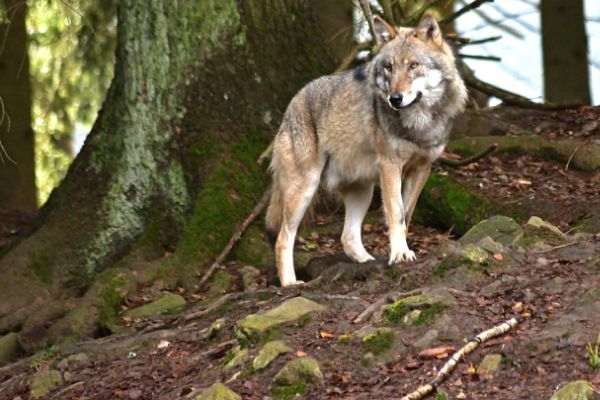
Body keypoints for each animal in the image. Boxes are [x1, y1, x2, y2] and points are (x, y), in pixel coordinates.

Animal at [268, 13, 468, 288]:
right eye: (389, 67)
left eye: (413, 65)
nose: (395, 98)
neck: (419, 123)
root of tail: (294, 101)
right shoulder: (390, 165)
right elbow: (396, 214)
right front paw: (400, 253)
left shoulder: (422, 168)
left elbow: (406, 214)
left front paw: (400, 252)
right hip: (305, 188)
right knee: (282, 239)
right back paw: (290, 284)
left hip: (363, 191)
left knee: (348, 238)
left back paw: (368, 262)